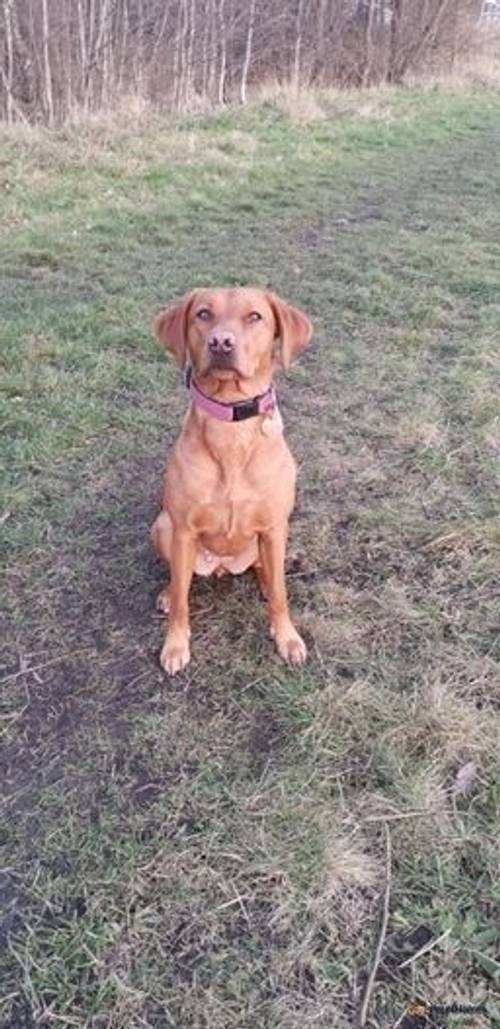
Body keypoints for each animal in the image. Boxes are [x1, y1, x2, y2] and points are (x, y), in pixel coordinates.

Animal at [149, 290, 312, 675]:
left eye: (254, 316)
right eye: (203, 314)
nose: (221, 342)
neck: (231, 430)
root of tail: (221, 566)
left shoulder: (274, 526)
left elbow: (281, 595)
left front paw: (287, 637)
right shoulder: (183, 530)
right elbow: (182, 598)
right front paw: (175, 644)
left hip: (273, 539)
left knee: (267, 571)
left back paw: (266, 581)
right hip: (162, 527)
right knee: (179, 580)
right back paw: (166, 592)